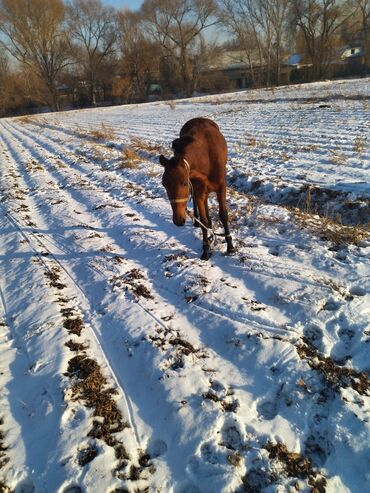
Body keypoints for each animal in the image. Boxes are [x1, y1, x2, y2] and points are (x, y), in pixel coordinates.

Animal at [158, 117, 234, 260]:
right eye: (164, 184)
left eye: (183, 183)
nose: (178, 220)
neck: (206, 157)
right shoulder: (199, 191)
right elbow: (203, 220)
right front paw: (206, 250)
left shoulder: (221, 187)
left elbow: (223, 215)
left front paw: (230, 246)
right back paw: (200, 223)